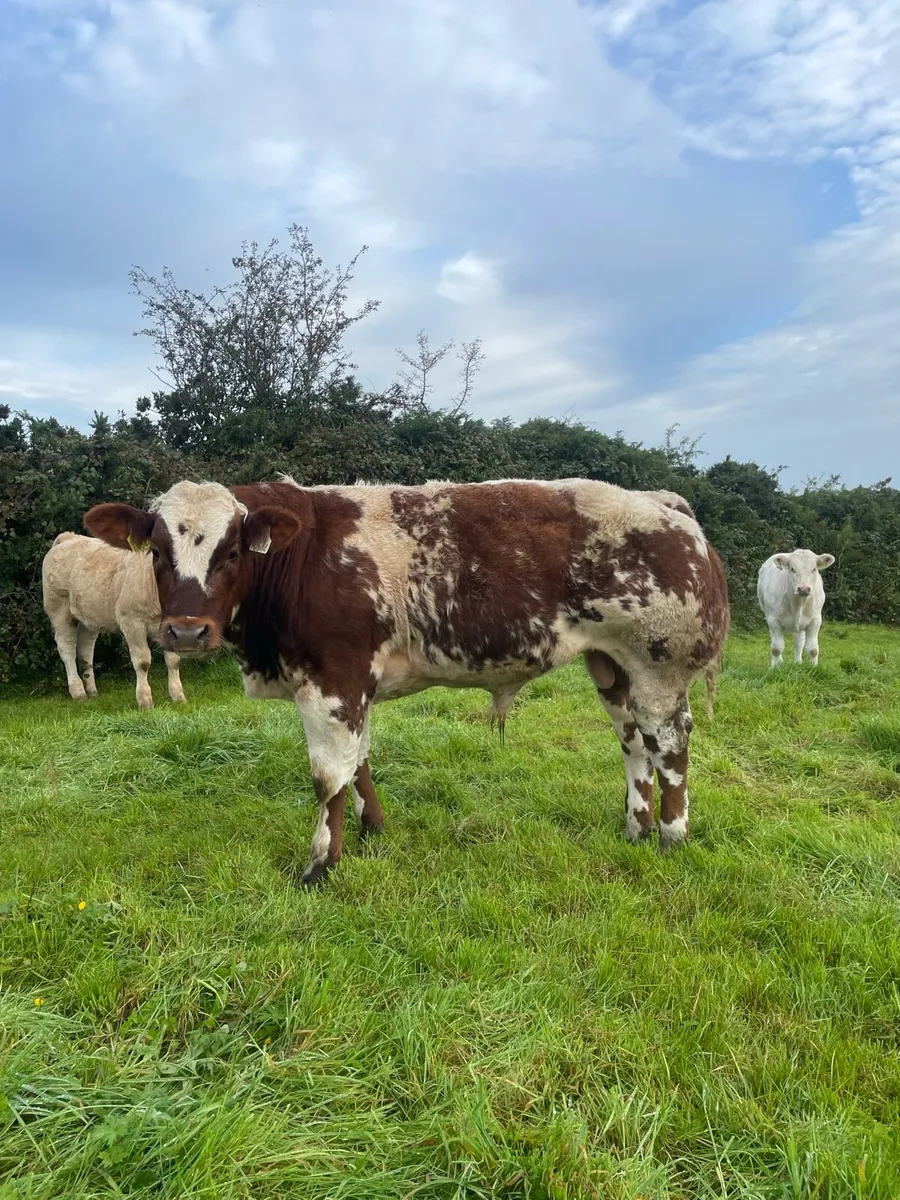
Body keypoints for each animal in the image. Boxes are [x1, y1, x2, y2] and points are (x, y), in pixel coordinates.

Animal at [41, 532, 186, 709]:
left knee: (85, 646)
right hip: (58, 608)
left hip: (90, 614)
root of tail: (69, 537)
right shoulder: (132, 621)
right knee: (66, 647)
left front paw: (178, 697)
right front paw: (145, 701)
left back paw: (91, 689)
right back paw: (78, 691)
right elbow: (143, 662)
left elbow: (174, 660)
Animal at [84, 477, 730, 883]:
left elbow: (328, 775)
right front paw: (371, 828)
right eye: (158, 553)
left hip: (659, 665)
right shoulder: (352, 684)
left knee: (670, 744)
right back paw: (635, 827)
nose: (187, 632)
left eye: (233, 553)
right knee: (633, 743)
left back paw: (671, 834)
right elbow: (359, 760)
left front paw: (321, 864)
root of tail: (664, 504)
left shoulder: (332, 679)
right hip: (612, 664)